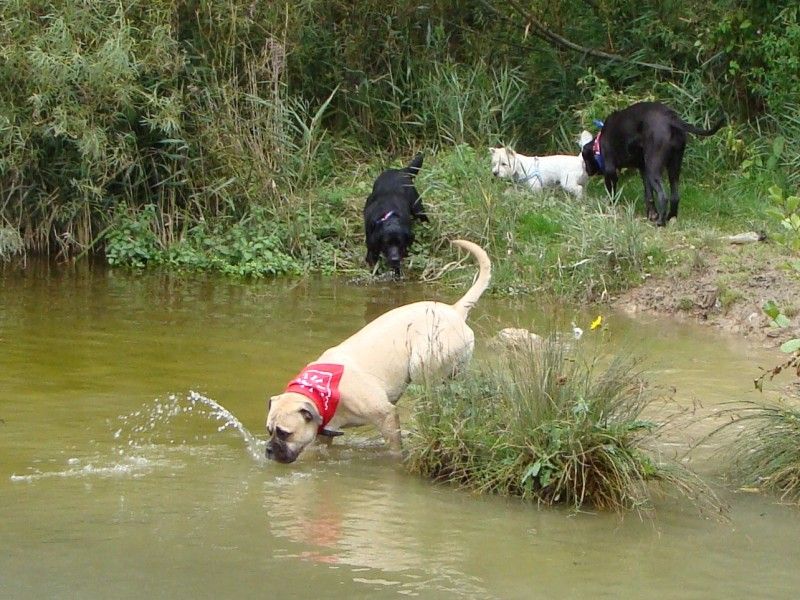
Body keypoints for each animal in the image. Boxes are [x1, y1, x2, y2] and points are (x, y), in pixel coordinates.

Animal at [266, 239, 490, 464]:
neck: (321, 392)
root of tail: (455, 310)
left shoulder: (386, 416)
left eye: (284, 433)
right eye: (269, 430)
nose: (268, 450)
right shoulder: (324, 434)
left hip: (422, 364)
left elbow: (394, 449)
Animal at [580, 102, 724, 226]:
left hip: (653, 167)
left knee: (663, 196)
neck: (598, 144)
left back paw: (661, 222)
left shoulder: (610, 171)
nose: (587, 171)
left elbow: (612, 192)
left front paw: (610, 206)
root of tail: (670, 118)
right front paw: (652, 215)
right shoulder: (643, 170)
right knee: (675, 196)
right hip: (673, 166)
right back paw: (670, 217)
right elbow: (648, 196)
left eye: (585, 159)